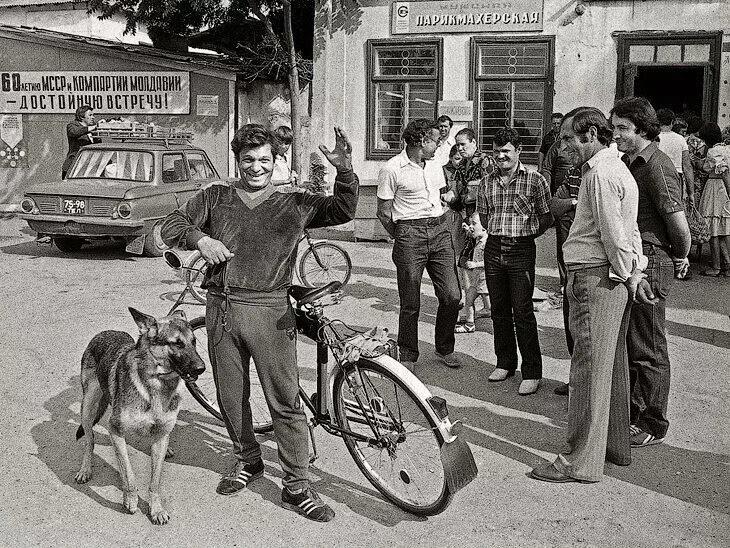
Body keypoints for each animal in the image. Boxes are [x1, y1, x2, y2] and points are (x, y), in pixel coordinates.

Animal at [75, 310, 205, 524]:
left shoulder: (160, 437)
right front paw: (130, 499)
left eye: (193, 341)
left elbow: (154, 481)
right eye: (177, 343)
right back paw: (85, 469)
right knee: (89, 441)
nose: (201, 368)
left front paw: (156, 509)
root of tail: (106, 332)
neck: (156, 384)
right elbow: (129, 474)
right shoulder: (115, 430)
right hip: (88, 406)